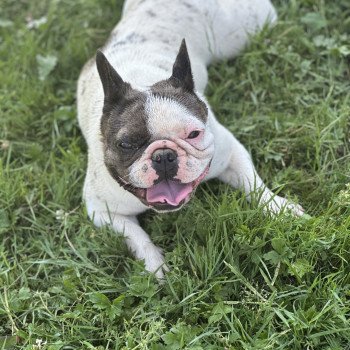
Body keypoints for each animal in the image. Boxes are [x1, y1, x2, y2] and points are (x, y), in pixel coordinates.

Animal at [76, 0, 304, 278]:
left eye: (193, 134)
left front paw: (280, 208)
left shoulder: (230, 153)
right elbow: (136, 237)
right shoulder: (102, 211)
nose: (164, 155)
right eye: (127, 144)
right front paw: (155, 265)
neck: (143, 80)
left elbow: (255, 185)